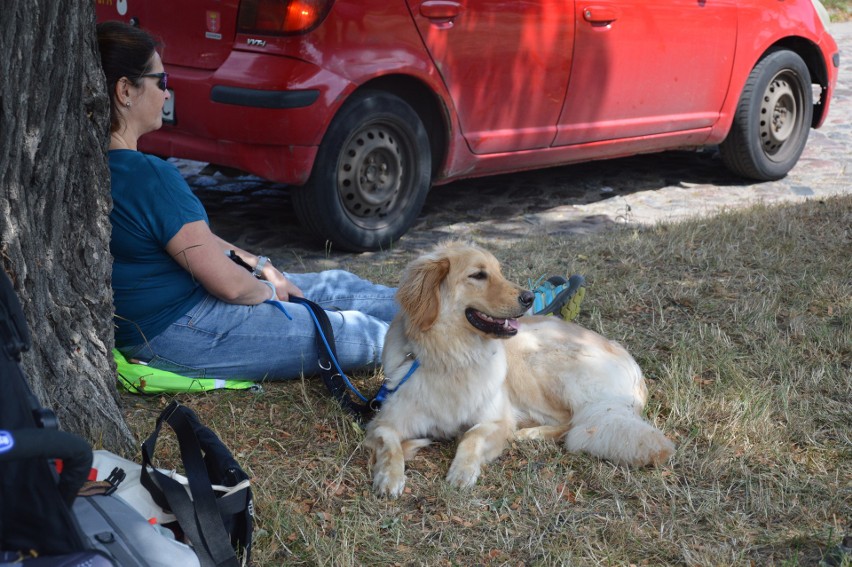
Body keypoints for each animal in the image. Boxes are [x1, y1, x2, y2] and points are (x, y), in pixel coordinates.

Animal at [362, 240, 676, 496]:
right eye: (478, 275)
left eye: (499, 272)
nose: (528, 298)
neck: (452, 355)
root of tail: (631, 366)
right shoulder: (385, 420)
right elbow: (390, 445)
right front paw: (390, 476)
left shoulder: (495, 419)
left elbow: (471, 437)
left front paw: (463, 470)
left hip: (531, 361)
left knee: (571, 422)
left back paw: (530, 433)